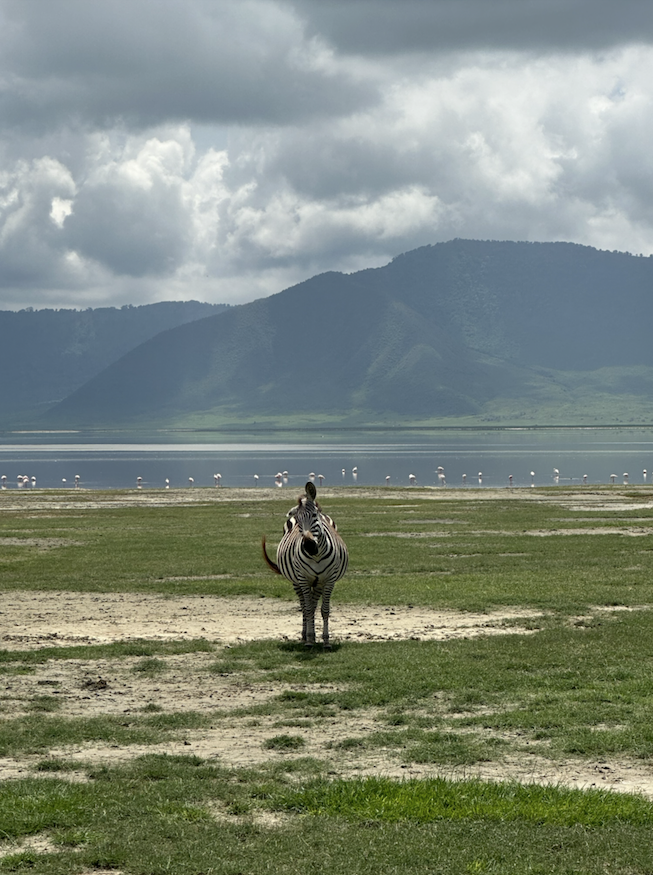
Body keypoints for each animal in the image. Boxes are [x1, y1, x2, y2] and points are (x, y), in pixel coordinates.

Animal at [262, 480, 348, 652]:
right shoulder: (303, 579)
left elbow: (324, 610)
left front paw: (326, 641)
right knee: (304, 605)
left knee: (313, 605)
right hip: (297, 581)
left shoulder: (329, 580)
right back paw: (305, 636)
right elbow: (307, 609)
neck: (317, 555)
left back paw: (313, 636)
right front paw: (308, 640)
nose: (309, 546)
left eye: (314, 516)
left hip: (318, 583)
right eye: (299, 520)